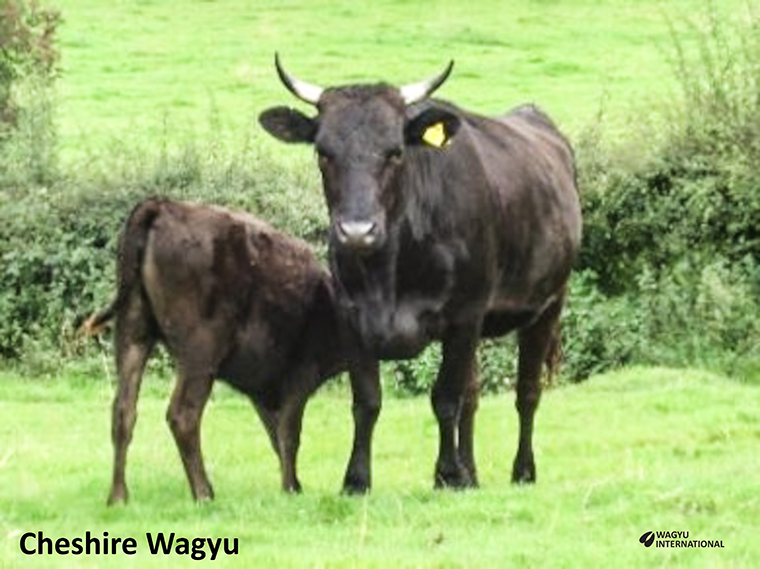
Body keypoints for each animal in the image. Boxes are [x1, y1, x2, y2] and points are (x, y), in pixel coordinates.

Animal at [85, 199, 344, 502]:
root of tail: (163, 204)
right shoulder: (301, 375)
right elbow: (289, 434)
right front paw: (291, 489)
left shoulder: (263, 387)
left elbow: (275, 433)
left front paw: (293, 484)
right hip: (200, 352)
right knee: (183, 415)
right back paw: (203, 493)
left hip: (132, 331)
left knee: (123, 411)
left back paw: (118, 497)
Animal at [262, 57, 580, 492]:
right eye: (323, 153)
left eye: (395, 153)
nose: (357, 231)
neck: (389, 274)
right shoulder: (352, 319)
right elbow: (368, 402)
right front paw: (356, 480)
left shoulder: (464, 316)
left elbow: (444, 398)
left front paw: (446, 474)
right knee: (473, 394)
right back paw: (472, 473)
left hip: (548, 305)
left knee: (527, 393)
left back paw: (522, 471)